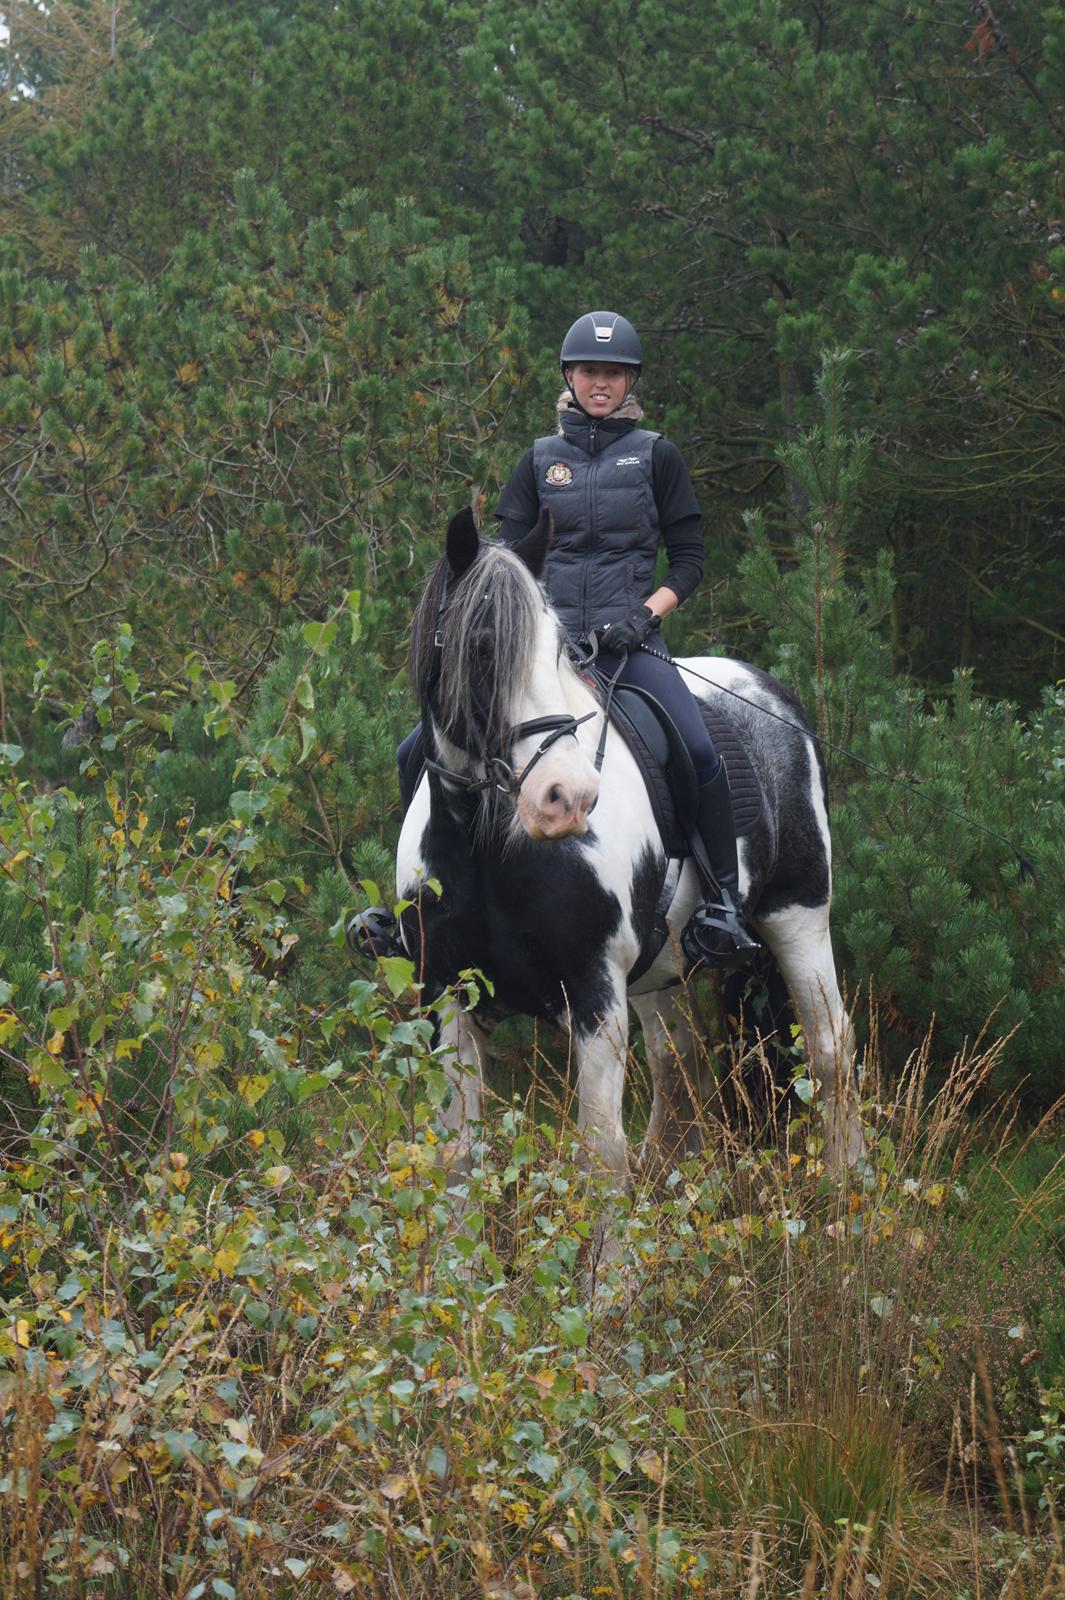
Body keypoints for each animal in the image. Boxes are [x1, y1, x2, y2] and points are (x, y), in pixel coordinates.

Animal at [393, 505, 857, 1203]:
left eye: (558, 649)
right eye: (482, 646)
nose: (568, 797)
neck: (487, 849)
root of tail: (770, 695)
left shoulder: (595, 993)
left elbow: (600, 1160)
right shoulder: (449, 992)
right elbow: (456, 1159)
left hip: (797, 916)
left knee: (831, 1048)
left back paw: (851, 1191)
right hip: (661, 967)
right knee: (678, 1062)